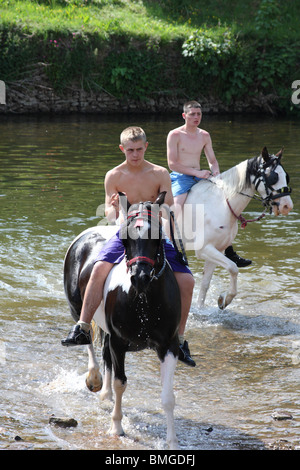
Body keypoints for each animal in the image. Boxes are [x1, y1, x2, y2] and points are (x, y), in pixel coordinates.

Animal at [63, 193, 180, 450]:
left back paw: (105, 394)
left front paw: (172, 442)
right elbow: (121, 383)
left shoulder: (168, 346)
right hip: (76, 309)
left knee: (105, 353)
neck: (144, 299)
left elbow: (168, 397)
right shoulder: (120, 342)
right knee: (88, 340)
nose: (140, 277)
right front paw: (116, 427)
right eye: (125, 239)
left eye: (157, 236)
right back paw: (95, 379)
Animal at [176, 147, 292, 308]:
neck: (221, 204)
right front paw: (226, 298)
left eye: (286, 176)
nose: (287, 206)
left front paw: (204, 307)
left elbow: (205, 284)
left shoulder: (216, 250)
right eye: (273, 177)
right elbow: (233, 268)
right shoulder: (204, 249)